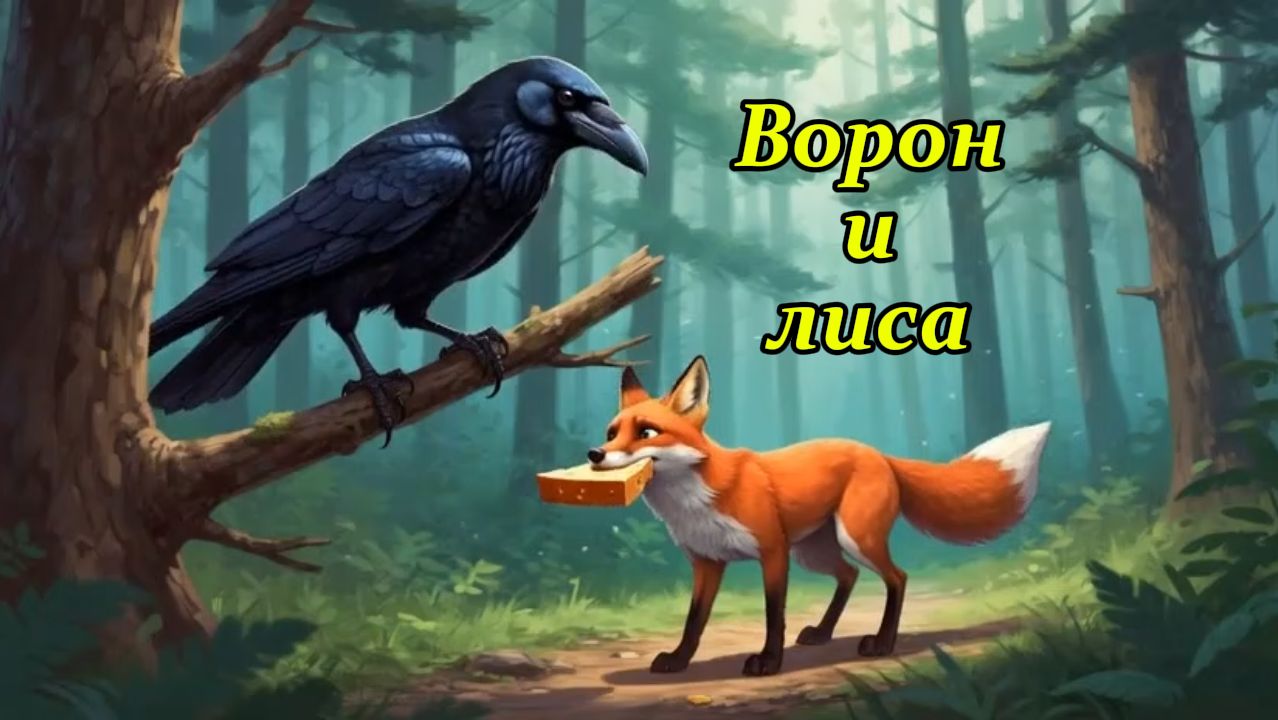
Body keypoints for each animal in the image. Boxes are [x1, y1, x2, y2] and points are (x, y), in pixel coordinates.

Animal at [587, 355, 1050, 677]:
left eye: (647, 432)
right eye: (611, 433)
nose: (594, 453)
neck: (694, 501)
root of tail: (877, 453)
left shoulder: (773, 551)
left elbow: (774, 615)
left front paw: (769, 662)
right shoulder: (707, 562)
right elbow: (693, 620)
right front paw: (679, 659)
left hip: (853, 538)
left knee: (897, 578)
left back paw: (882, 643)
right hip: (815, 551)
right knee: (849, 576)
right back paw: (824, 634)